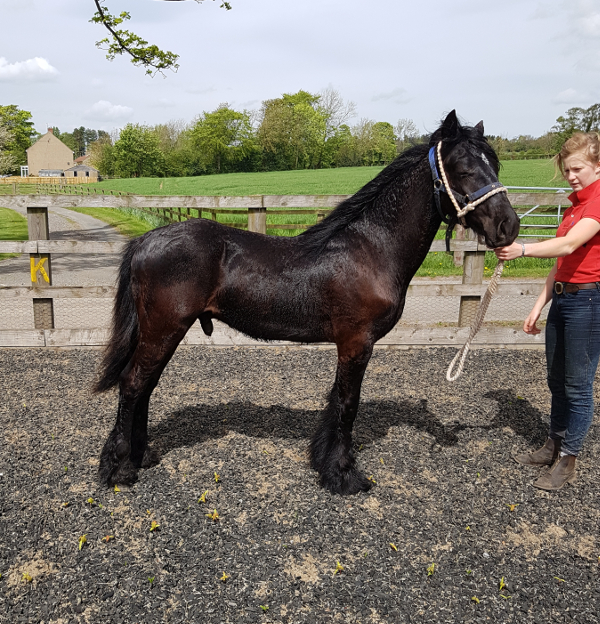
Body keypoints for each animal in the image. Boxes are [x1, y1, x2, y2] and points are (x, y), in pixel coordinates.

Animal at [94, 111, 520, 492]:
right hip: (164, 328)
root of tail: (146, 240)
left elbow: (336, 400)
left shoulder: (350, 344)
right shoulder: (357, 342)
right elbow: (348, 402)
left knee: (145, 386)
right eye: (463, 168)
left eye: (495, 165)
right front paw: (344, 475)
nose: (509, 226)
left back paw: (140, 456)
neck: (370, 249)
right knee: (133, 384)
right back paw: (119, 469)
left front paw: (325, 461)